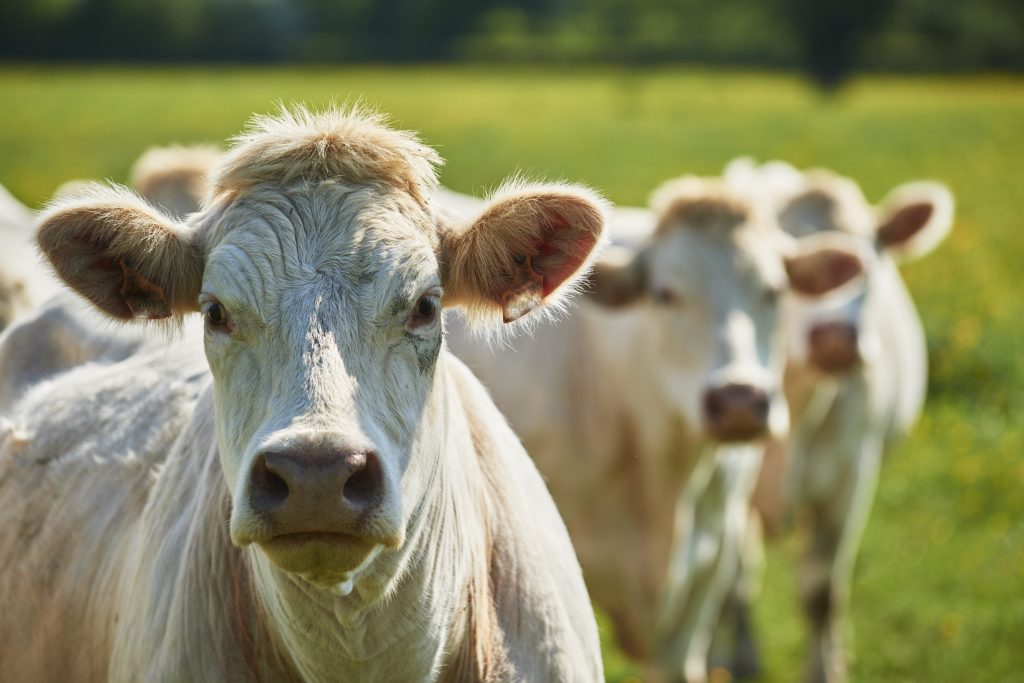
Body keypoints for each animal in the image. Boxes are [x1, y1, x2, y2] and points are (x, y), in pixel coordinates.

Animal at [720, 157, 950, 679]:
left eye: (873, 254)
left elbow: (822, 592)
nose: (835, 336)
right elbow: (738, 582)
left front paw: (825, 668)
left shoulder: (852, 479)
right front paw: (741, 661)